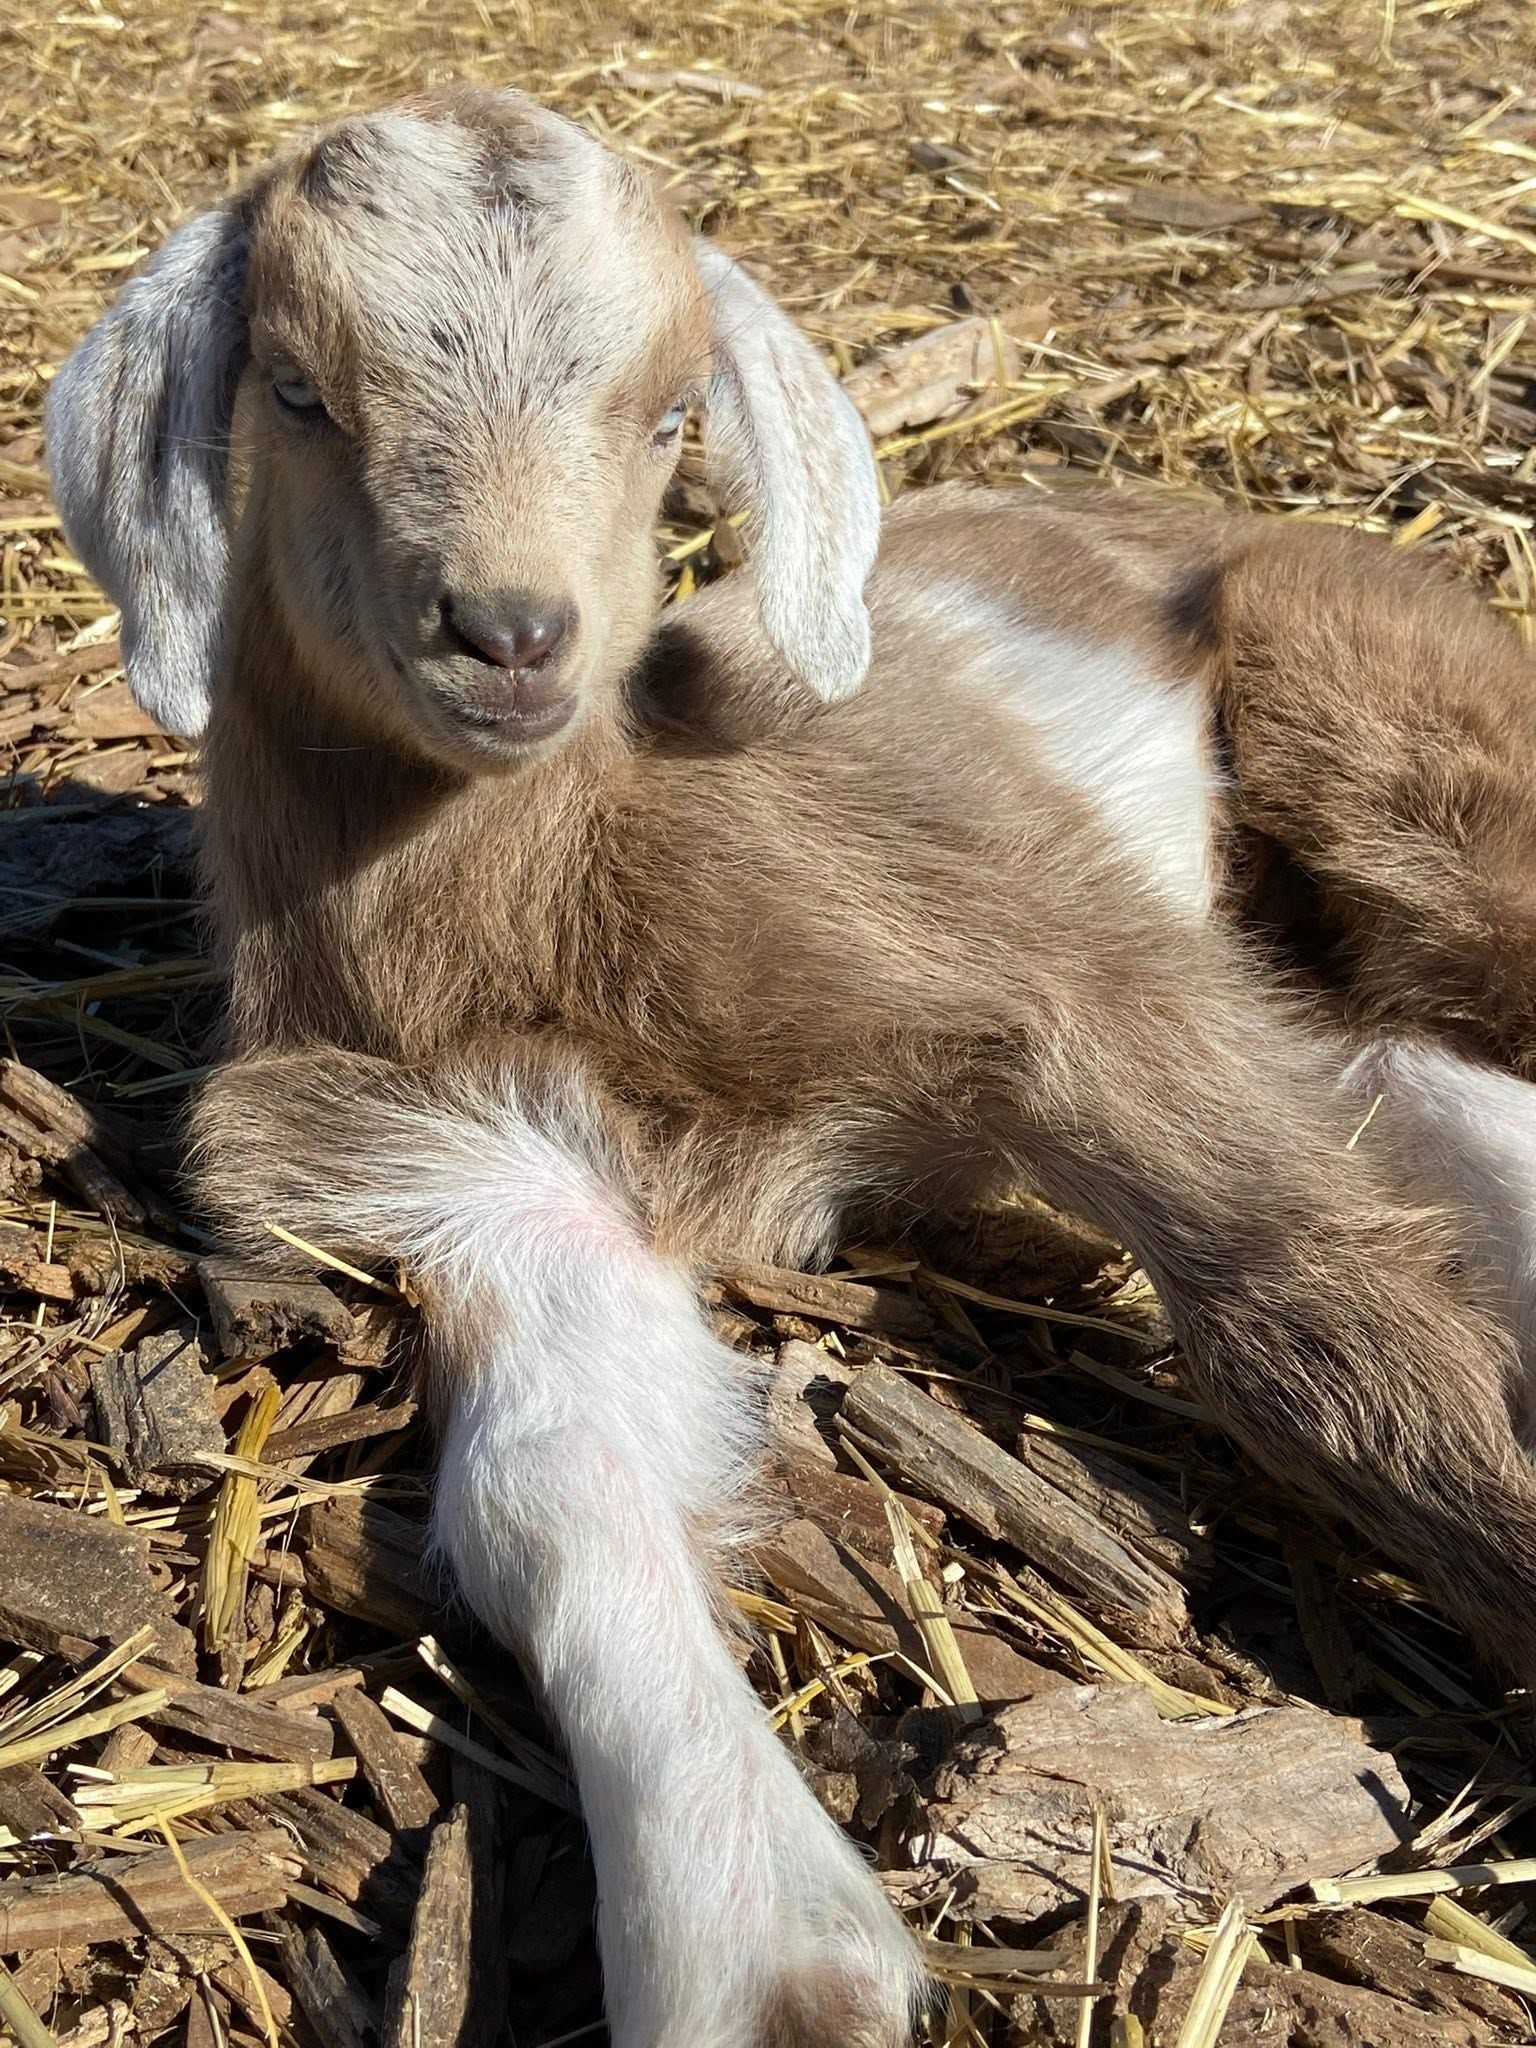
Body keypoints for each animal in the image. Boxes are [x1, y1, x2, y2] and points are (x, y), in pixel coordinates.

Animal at [45, 84, 1536, 2048]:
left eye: (673, 414)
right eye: (295, 389)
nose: (510, 633)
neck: (565, 876)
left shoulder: (1066, 973)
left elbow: (1316, 1323)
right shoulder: (434, 1160)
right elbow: (543, 1479)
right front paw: (764, 1951)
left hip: (1380, 733)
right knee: (1404, 1067)